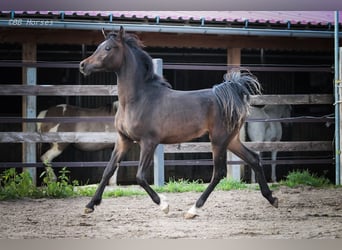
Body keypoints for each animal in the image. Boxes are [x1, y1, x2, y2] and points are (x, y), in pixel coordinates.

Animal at [78, 26, 278, 219]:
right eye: (98, 46)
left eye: (108, 48)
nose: (83, 65)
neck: (138, 99)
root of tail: (231, 93)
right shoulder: (123, 140)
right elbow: (108, 171)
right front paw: (90, 205)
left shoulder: (149, 142)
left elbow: (140, 177)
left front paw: (164, 205)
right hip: (231, 140)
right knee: (253, 158)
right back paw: (272, 198)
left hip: (218, 140)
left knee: (219, 173)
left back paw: (193, 210)